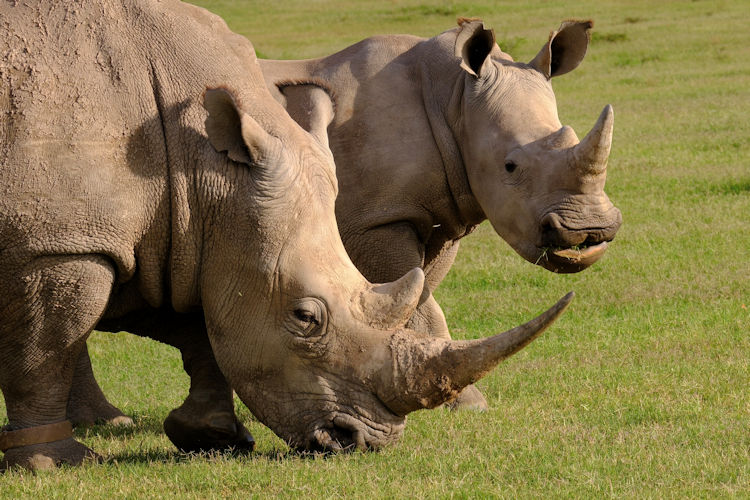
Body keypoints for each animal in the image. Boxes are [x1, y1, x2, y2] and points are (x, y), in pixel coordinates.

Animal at [0, 1, 571, 470]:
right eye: (305, 318)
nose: (364, 442)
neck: (201, 167)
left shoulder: (182, 234)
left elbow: (202, 322)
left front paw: (213, 436)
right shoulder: (64, 242)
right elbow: (47, 345)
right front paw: (54, 463)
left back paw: (107, 423)